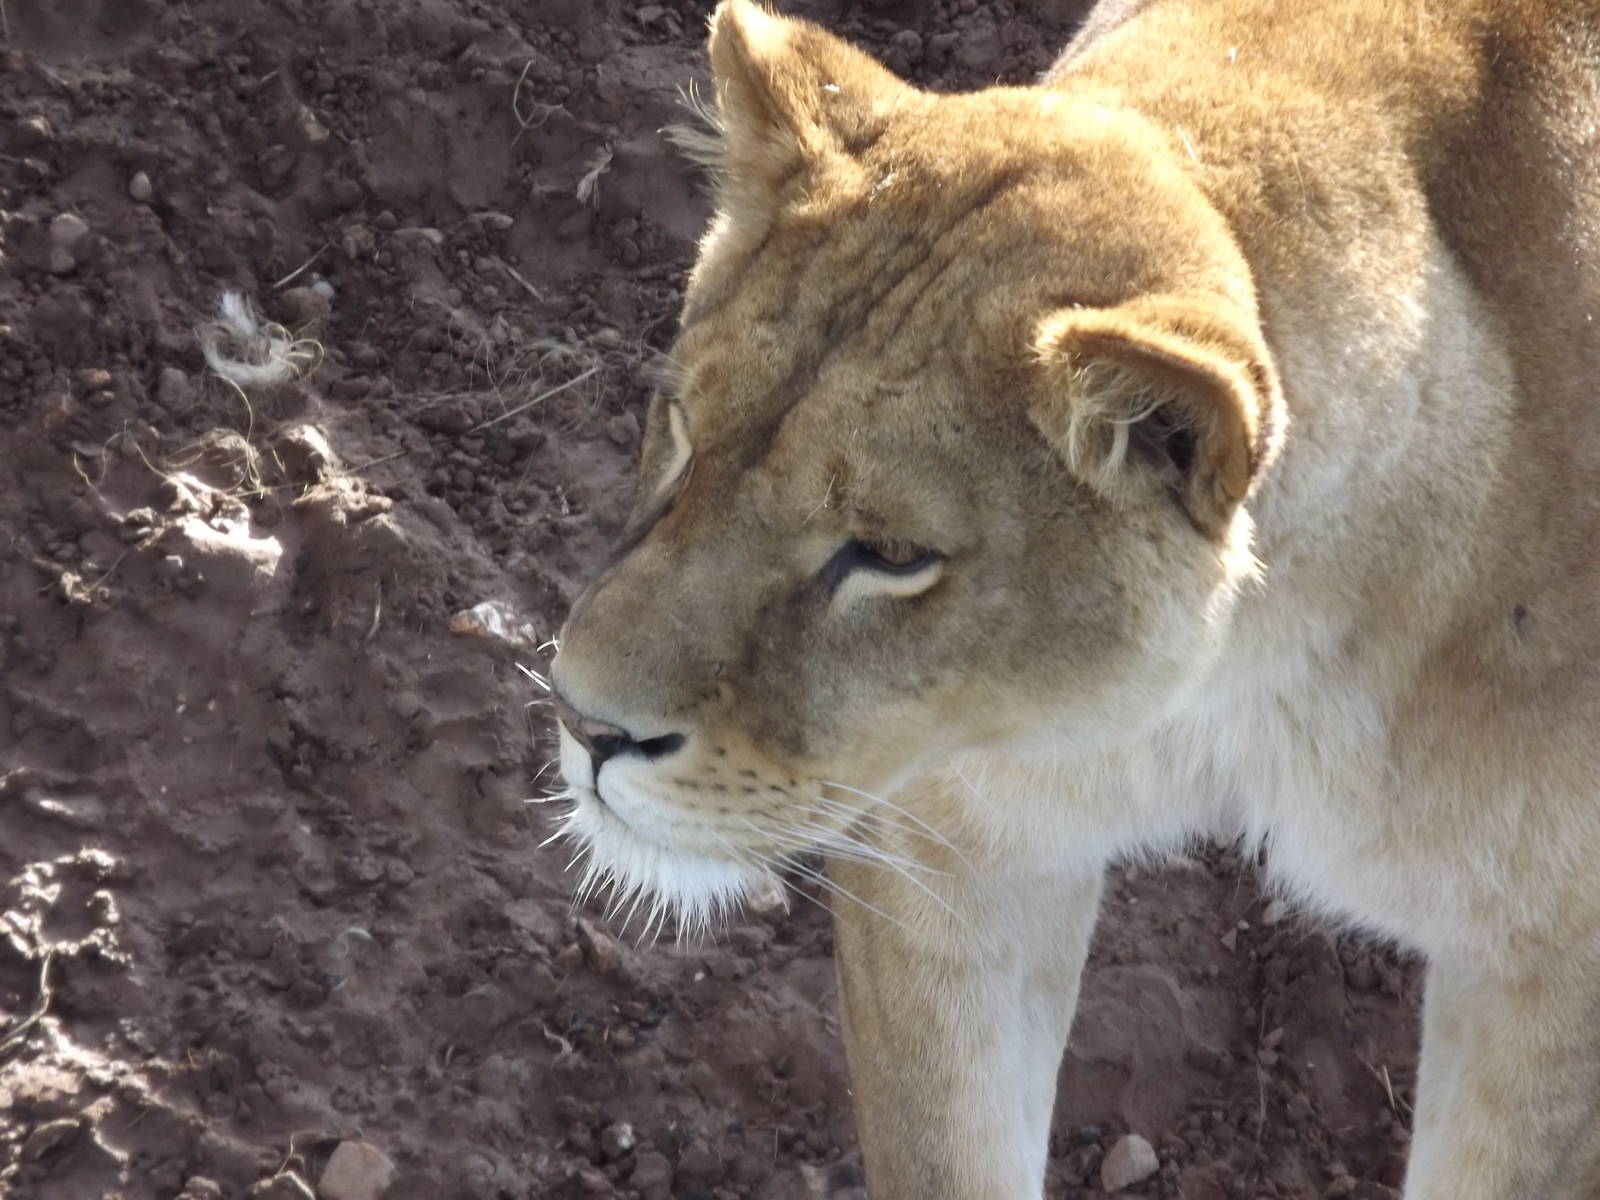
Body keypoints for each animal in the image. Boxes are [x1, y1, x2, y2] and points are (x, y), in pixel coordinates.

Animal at [547, 0, 1600, 1195]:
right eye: (680, 431)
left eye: (889, 552)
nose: (585, 724)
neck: (1247, 679)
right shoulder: (956, 842)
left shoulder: (1553, 990)